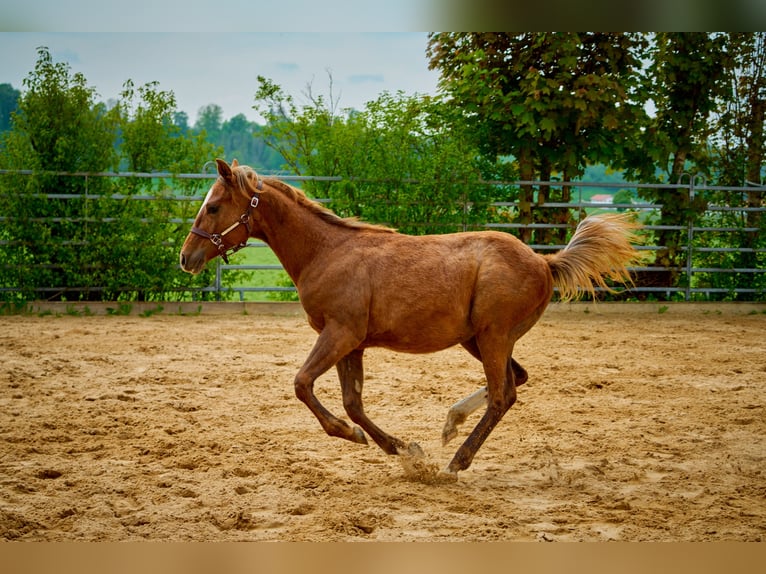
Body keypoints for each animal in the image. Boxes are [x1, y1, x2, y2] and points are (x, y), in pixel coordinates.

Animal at [180, 159, 640, 482]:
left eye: (214, 207)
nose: (187, 258)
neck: (325, 251)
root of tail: (545, 262)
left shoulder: (340, 333)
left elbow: (302, 384)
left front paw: (358, 437)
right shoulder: (353, 343)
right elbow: (354, 403)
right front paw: (402, 449)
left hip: (493, 336)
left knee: (503, 395)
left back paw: (456, 462)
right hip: (479, 339)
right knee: (516, 380)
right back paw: (451, 423)